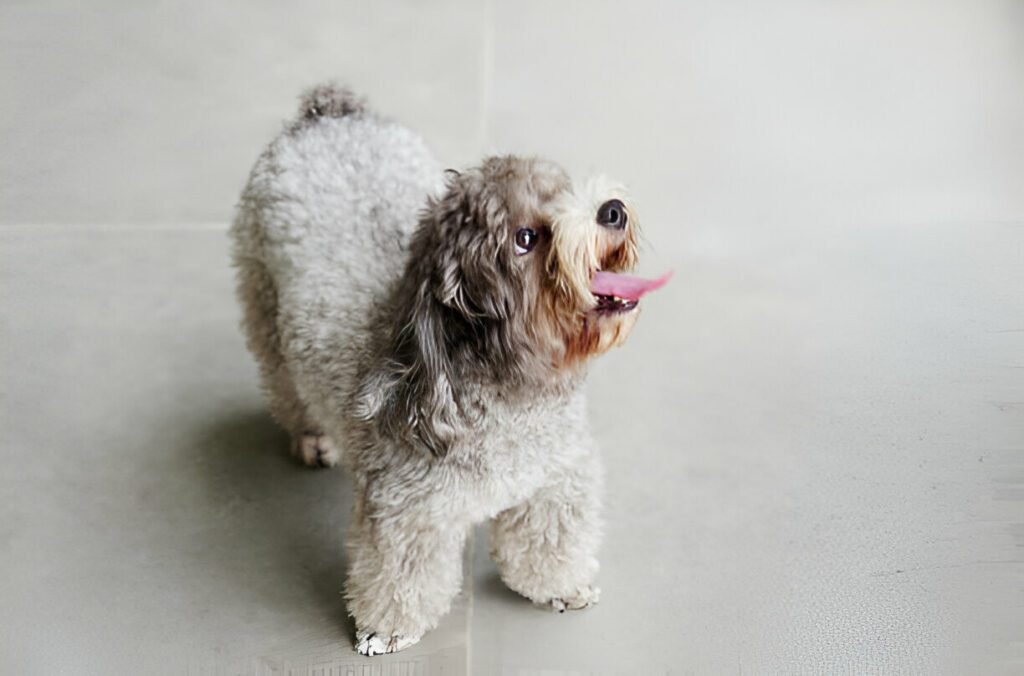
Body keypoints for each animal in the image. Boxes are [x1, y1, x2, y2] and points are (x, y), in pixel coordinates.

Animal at [228, 82, 667, 655]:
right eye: (525, 238)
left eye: (565, 189)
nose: (611, 209)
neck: (509, 389)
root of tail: (330, 113)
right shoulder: (406, 512)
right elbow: (399, 577)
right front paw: (385, 630)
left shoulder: (556, 479)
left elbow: (549, 542)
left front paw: (562, 586)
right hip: (264, 307)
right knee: (285, 386)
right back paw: (311, 438)